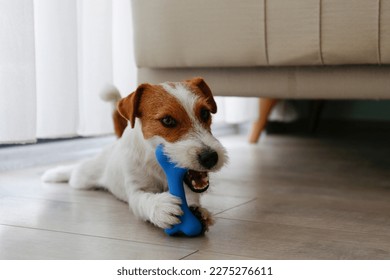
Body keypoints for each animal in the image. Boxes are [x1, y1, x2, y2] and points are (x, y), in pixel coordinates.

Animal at [41, 77, 227, 232]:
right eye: (167, 120)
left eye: (205, 113)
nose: (210, 157)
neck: (157, 165)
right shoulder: (136, 190)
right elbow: (143, 199)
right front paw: (160, 207)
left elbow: (191, 196)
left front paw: (197, 211)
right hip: (84, 177)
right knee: (75, 171)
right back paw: (55, 174)